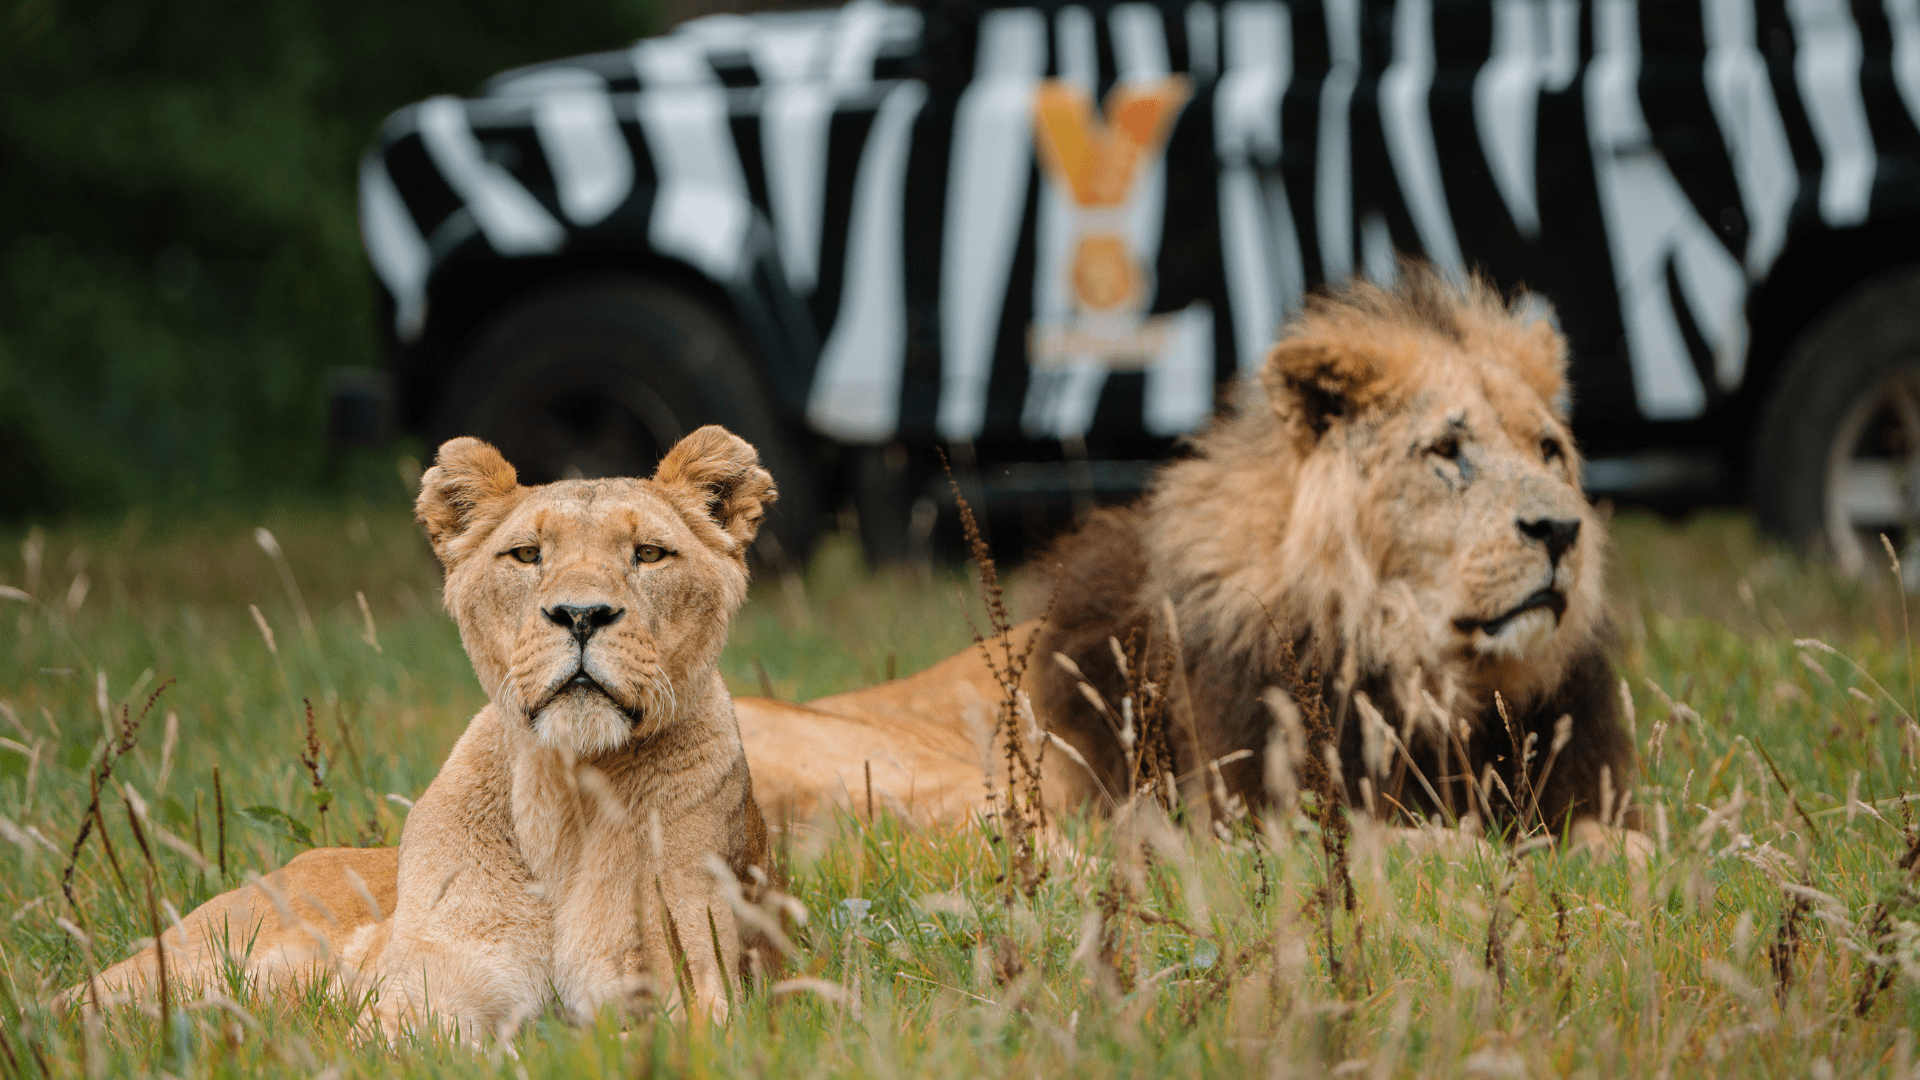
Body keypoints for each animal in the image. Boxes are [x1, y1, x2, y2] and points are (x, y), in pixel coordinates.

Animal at [68, 427, 784, 1035]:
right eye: (528, 554)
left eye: (649, 554)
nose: (581, 615)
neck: (564, 801)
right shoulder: (423, 990)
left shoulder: (696, 985)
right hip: (193, 969)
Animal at [738, 269, 1645, 857]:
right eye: (1448, 453)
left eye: (1549, 451)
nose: (1561, 531)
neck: (1434, 681)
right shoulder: (1268, 815)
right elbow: (1431, 846)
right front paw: (1494, 858)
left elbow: (1625, 848)